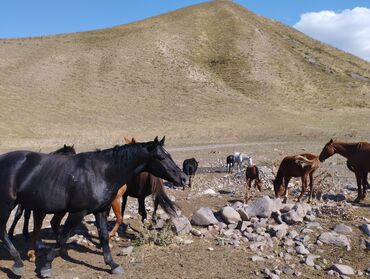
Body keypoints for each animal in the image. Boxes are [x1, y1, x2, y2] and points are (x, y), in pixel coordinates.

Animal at [0, 136, 185, 278]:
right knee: (4, 231)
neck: (101, 173)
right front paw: (46, 266)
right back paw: (18, 263)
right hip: (7, 205)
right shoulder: (77, 213)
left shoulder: (100, 210)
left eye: (168, 155)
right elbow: (63, 237)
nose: (183, 178)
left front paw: (112, 264)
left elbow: (104, 236)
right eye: (161, 157)